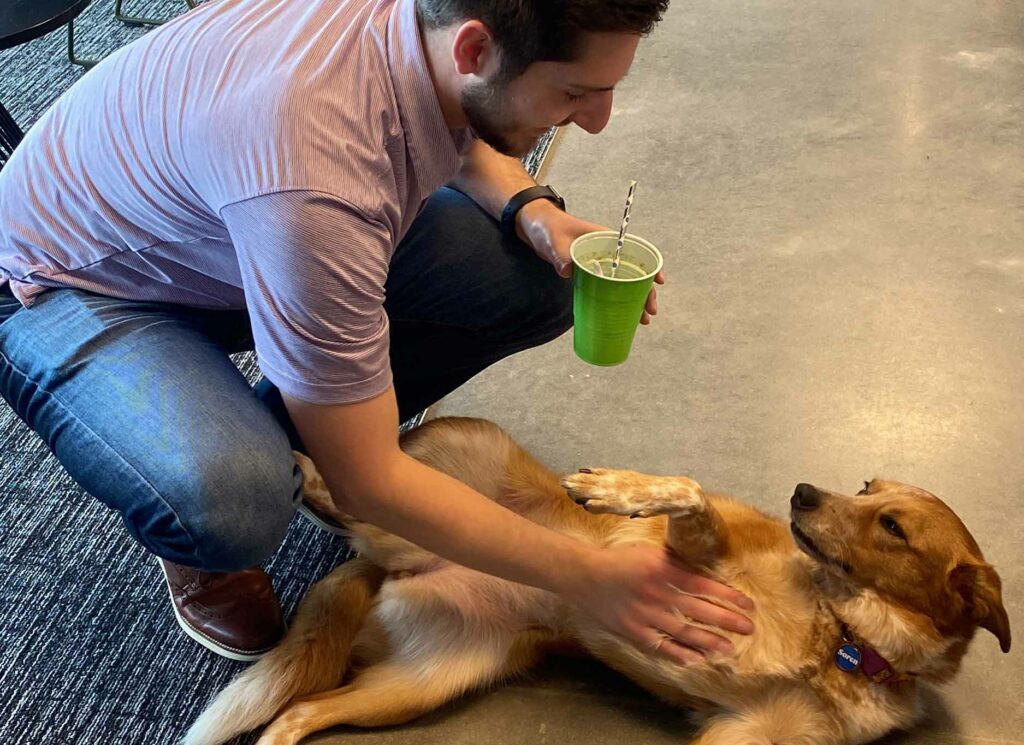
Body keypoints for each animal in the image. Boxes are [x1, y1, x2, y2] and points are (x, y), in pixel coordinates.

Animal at [182, 419, 1007, 745]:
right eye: (866, 486)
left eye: (891, 524)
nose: (802, 492)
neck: (840, 637)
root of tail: (399, 566)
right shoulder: (692, 548)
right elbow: (685, 488)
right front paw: (613, 489)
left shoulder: (742, 735)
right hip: (446, 461)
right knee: (349, 484)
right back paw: (302, 467)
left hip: (423, 682)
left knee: (302, 709)